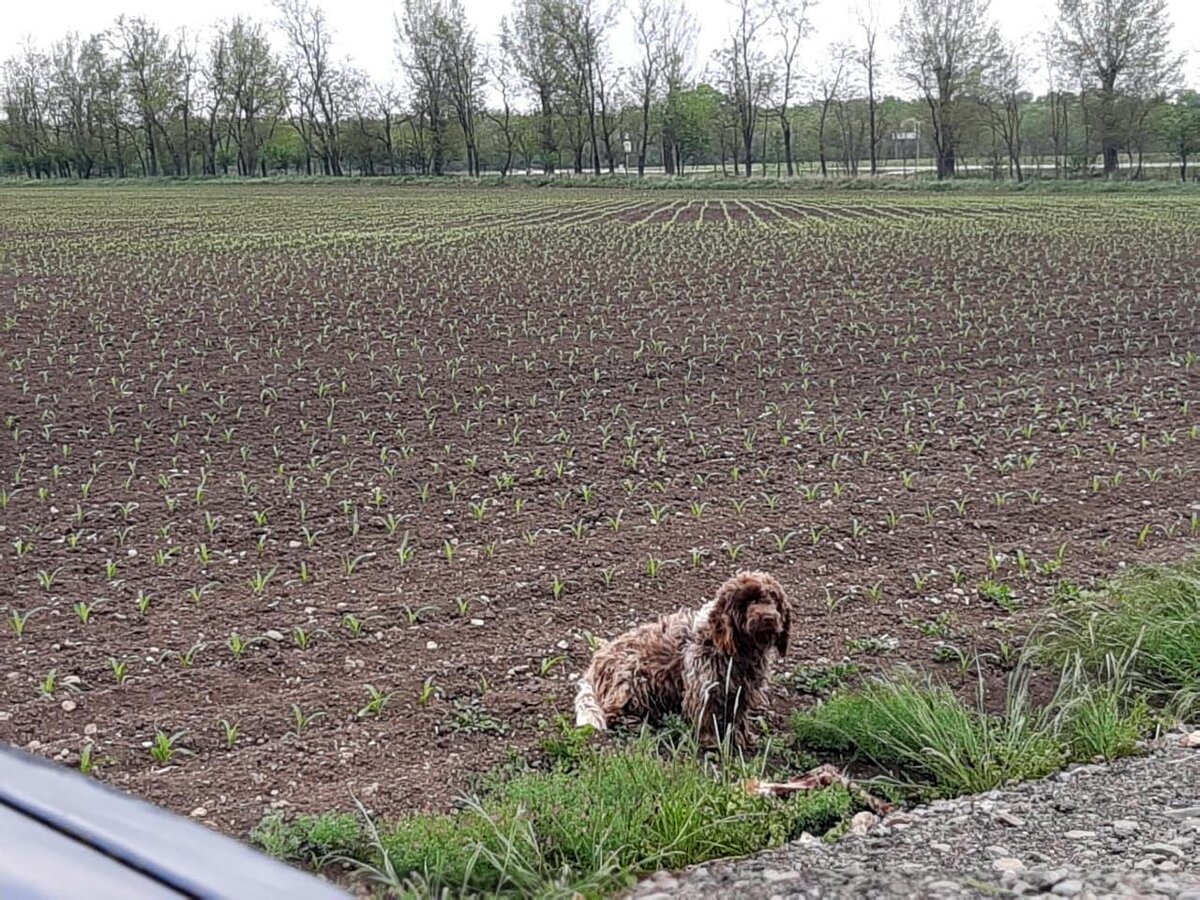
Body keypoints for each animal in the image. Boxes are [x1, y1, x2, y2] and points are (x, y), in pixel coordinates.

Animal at [576, 573, 792, 748]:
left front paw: (740, 738)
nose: (769, 618)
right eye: (749, 601)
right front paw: (710, 740)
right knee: (612, 712)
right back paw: (635, 723)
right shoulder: (703, 687)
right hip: (634, 678)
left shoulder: (741, 691)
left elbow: (737, 717)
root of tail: (596, 663)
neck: (742, 650)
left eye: (774, 600)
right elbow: (705, 715)